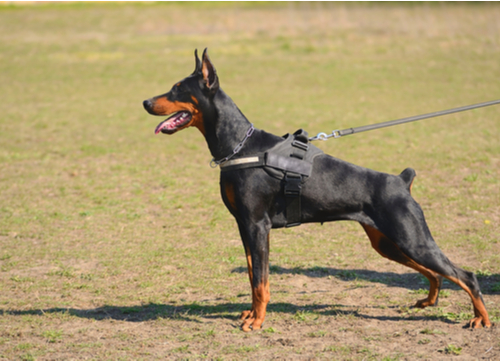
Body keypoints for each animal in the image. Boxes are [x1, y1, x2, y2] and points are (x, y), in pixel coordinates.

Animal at [143, 49, 490, 330]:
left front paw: (257, 321)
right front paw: (251, 314)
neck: (239, 146)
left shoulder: (258, 226)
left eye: (177, 88)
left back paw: (480, 319)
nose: (145, 101)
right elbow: (253, 275)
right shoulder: (244, 227)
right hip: (389, 243)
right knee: (437, 273)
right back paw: (428, 301)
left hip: (412, 238)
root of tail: (401, 181)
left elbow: (261, 281)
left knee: (466, 276)